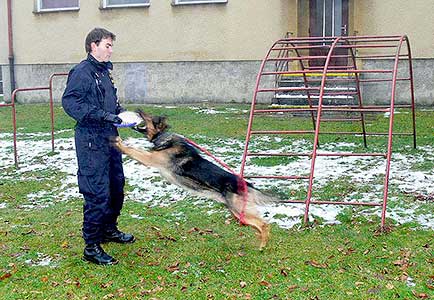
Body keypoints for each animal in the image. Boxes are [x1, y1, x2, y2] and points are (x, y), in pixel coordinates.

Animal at [110, 110, 270, 248]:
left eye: (151, 117)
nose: (138, 110)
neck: (163, 137)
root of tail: (245, 183)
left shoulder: (150, 159)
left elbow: (133, 151)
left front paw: (118, 143)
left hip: (238, 209)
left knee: (264, 224)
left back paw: (262, 245)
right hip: (238, 212)